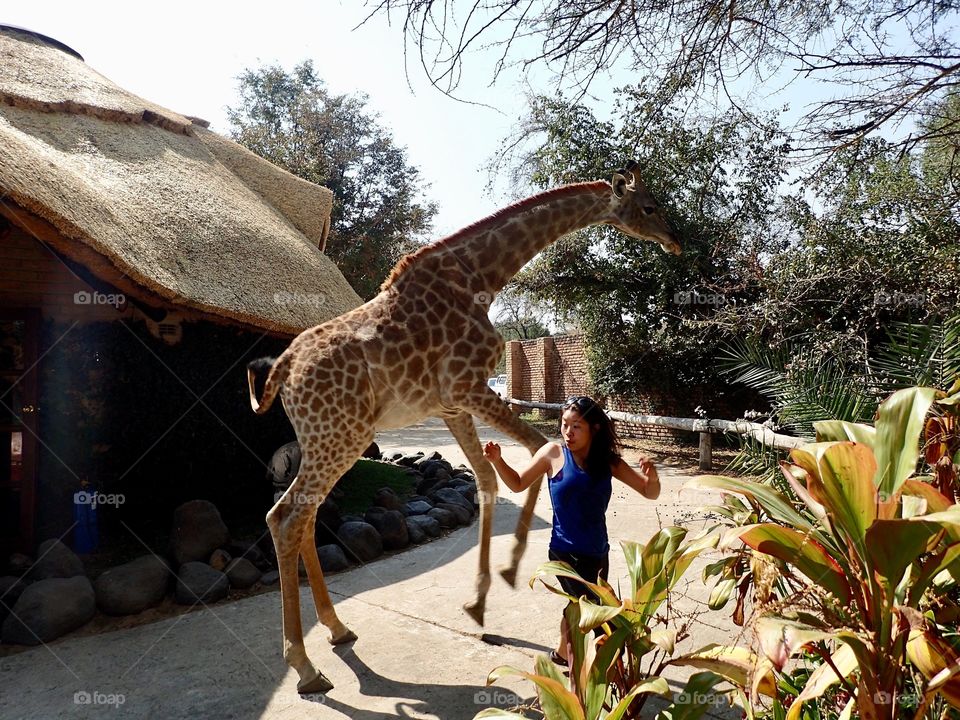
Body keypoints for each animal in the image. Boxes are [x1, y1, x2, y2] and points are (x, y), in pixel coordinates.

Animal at [247, 162, 680, 694]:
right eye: (651, 206)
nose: (676, 240)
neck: (481, 276)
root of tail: (284, 369)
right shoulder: (468, 387)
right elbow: (543, 451)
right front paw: (514, 570)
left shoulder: (452, 405)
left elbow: (491, 478)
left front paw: (479, 603)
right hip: (339, 435)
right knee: (284, 517)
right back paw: (306, 667)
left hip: (327, 438)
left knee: (301, 516)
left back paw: (337, 629)